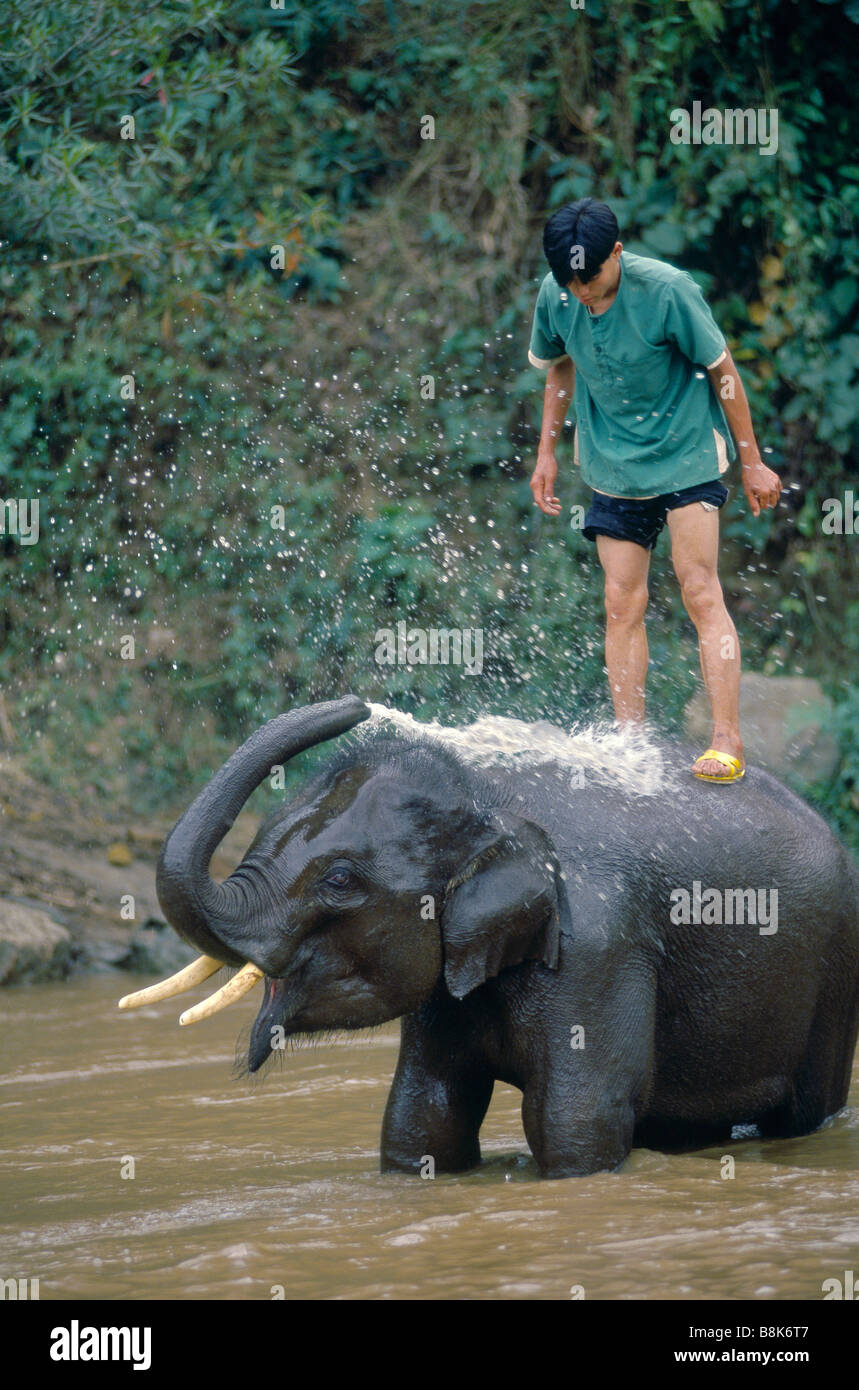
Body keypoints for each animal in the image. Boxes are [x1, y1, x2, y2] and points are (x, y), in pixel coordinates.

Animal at [118, 695, 856, 1173]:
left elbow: (574, 1121)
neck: (486, 797)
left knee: (805, 1110)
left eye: (340, 880)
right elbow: (423, 1117)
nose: (357, 703)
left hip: (834, 970)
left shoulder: (598, 947)